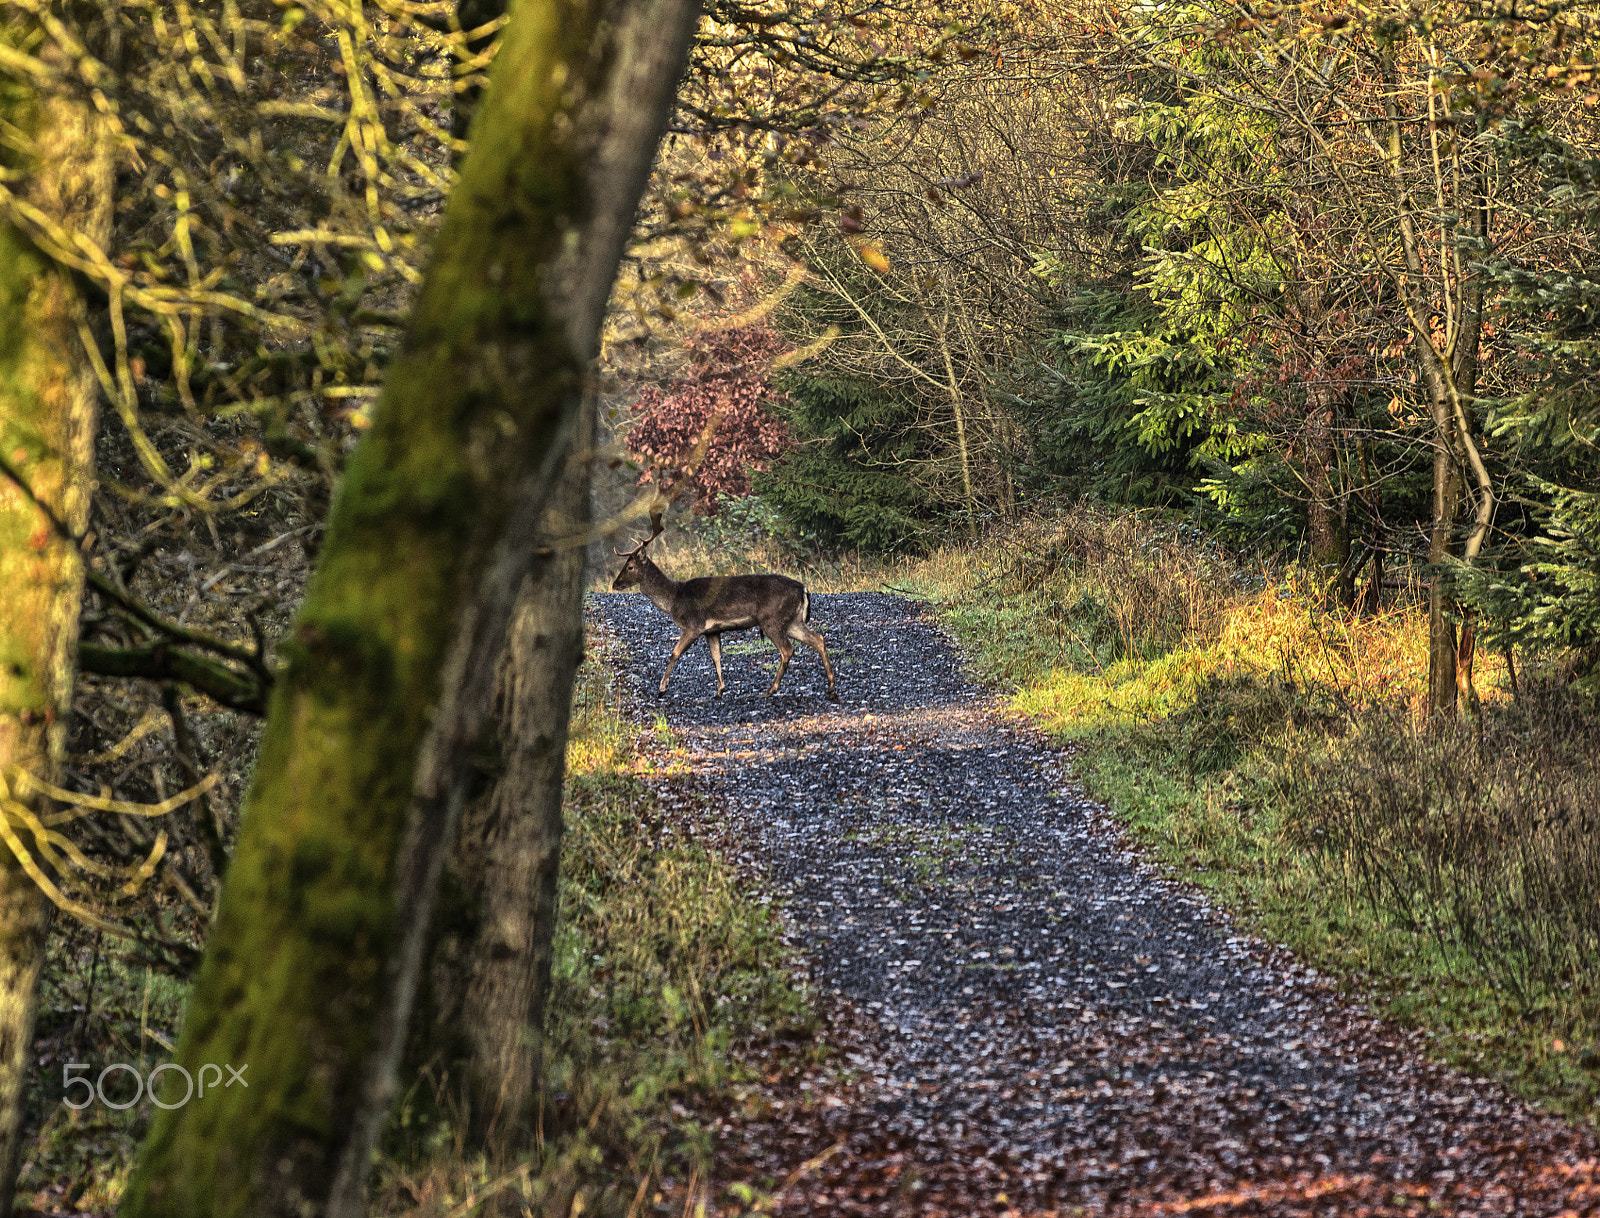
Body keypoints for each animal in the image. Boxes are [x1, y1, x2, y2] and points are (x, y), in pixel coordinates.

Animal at [611, 520, 838, 701]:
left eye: (630, 566)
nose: (615, 584)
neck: (674, 598)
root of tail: (803, 589)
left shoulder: (693, 625)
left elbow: (674, 653)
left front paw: (661, 689)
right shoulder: (712, 630)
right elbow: (716, 657)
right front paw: (720, 690)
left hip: (772, 619)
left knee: (788, 649)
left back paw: (771, 689)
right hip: (792, 620)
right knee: (818, 638)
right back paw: (830, 686)